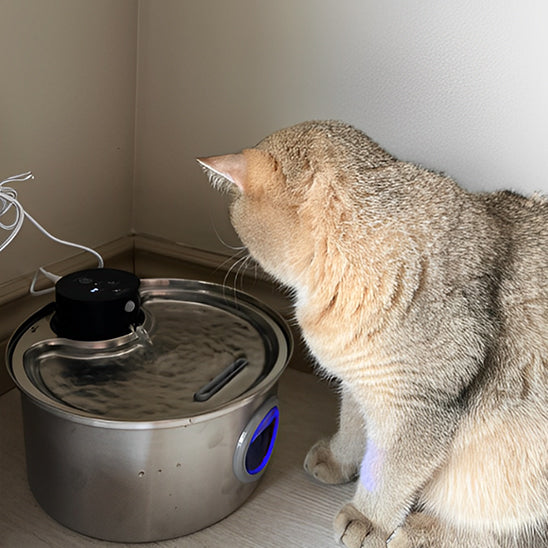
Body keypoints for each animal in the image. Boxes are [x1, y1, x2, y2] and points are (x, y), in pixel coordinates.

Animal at [198, 121, 548, 548]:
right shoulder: (359, 381)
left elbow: (390, 473)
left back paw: (423, 530)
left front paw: (368, 517)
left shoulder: (418, 407)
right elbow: (353, 427)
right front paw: (339, 459)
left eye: (235, 211)